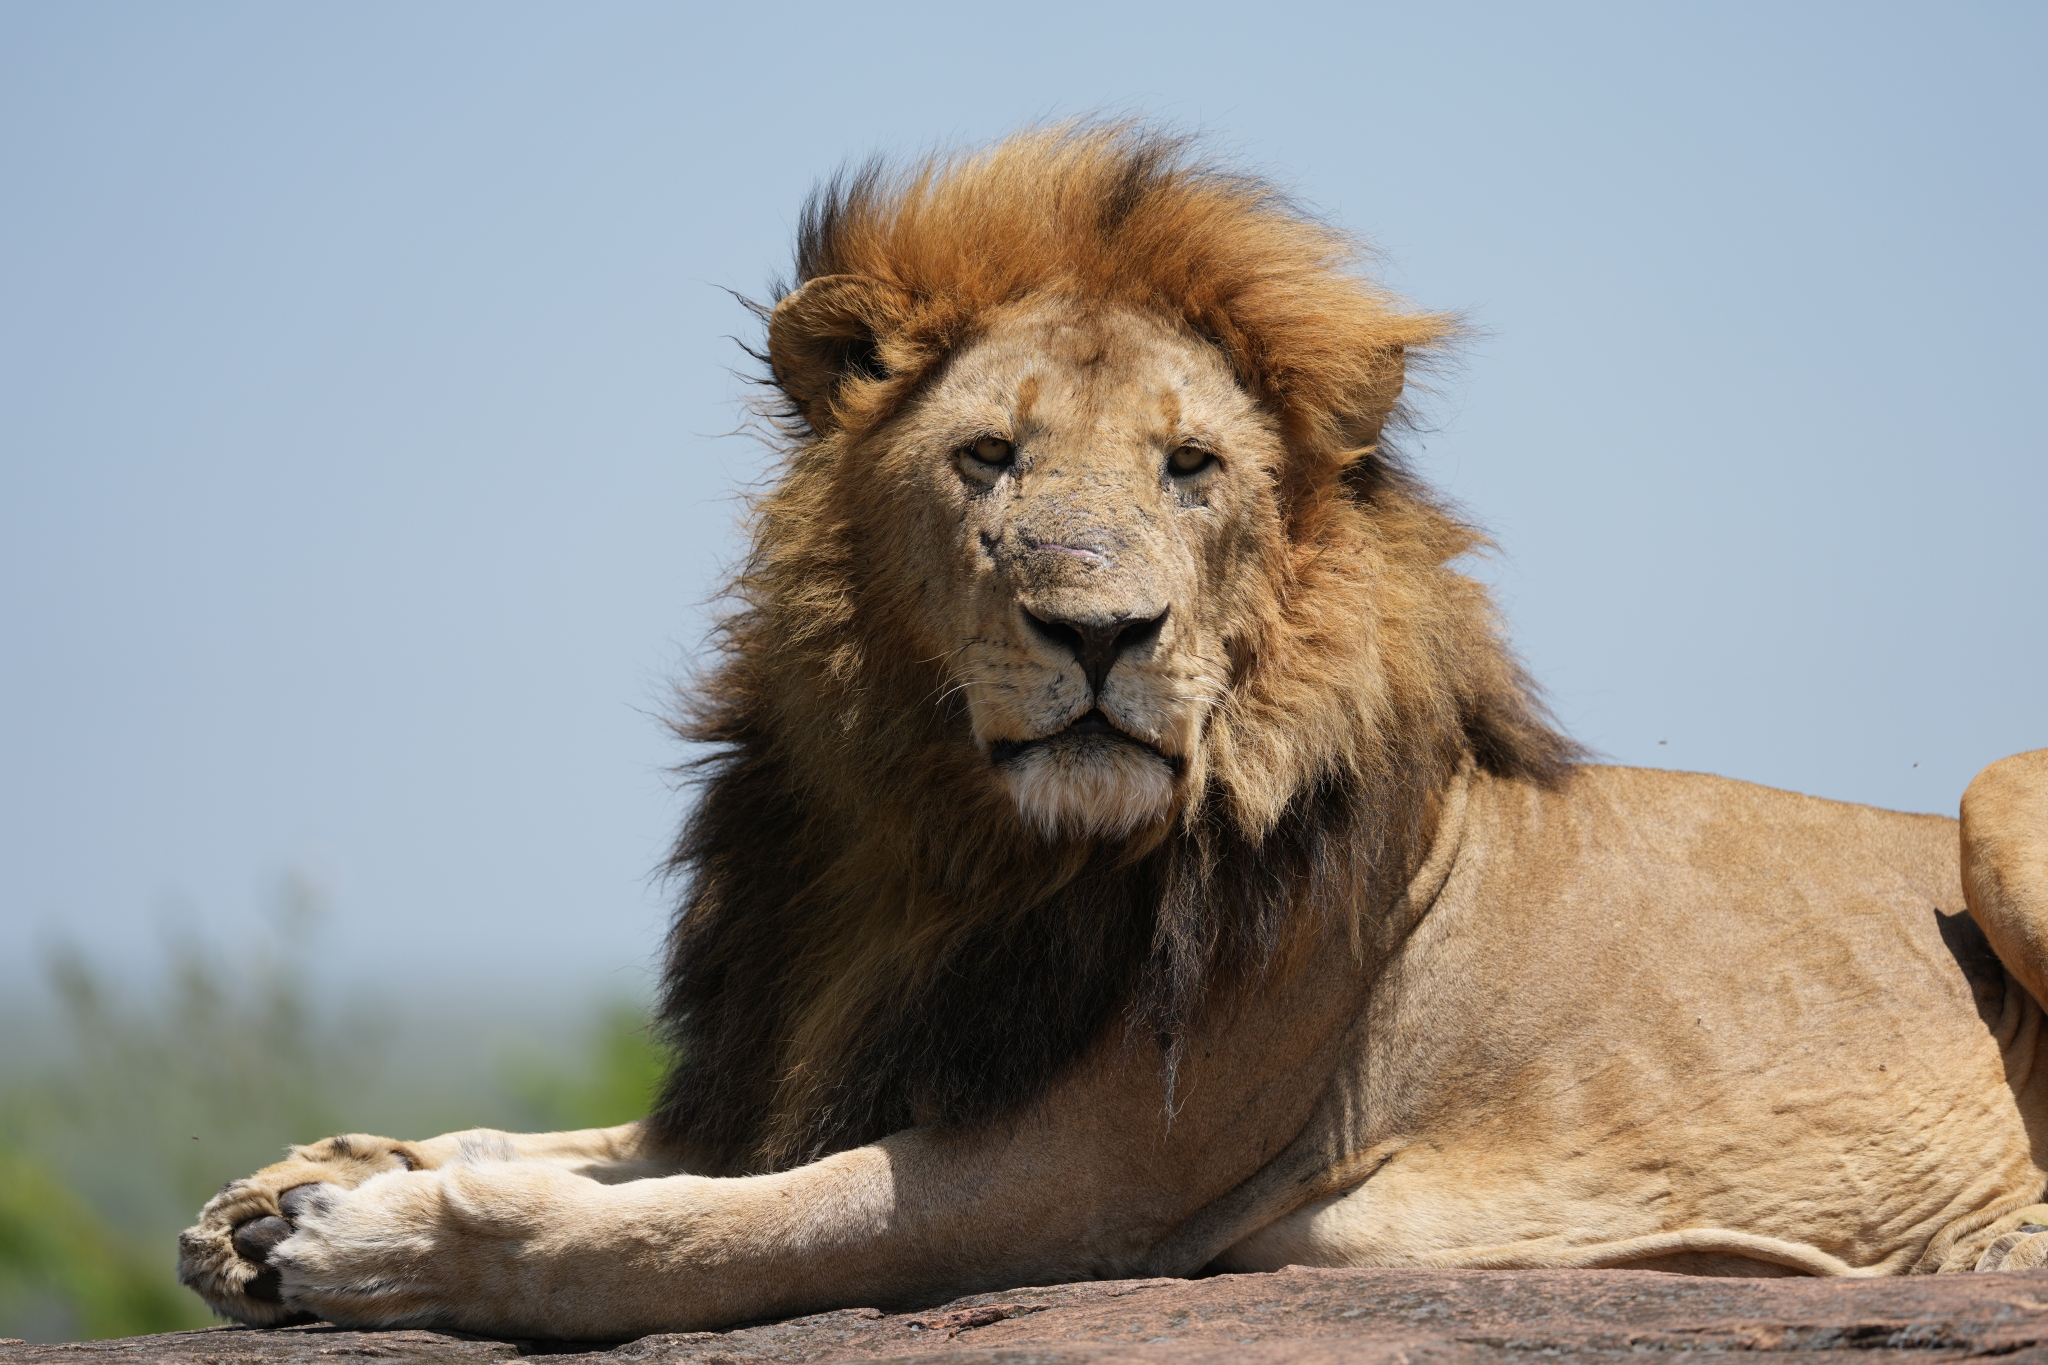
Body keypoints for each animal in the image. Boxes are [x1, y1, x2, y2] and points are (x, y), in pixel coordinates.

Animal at [178, 125, 2048, 1341]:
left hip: (1993, 794)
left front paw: (379, 1238)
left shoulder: (1080, 1179)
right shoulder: (831, 1054)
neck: (946, 848)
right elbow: (605, 1152)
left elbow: (671, 1242)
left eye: (1189, 467)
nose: (1096, 633)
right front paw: (295, 1188)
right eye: (987, 459)